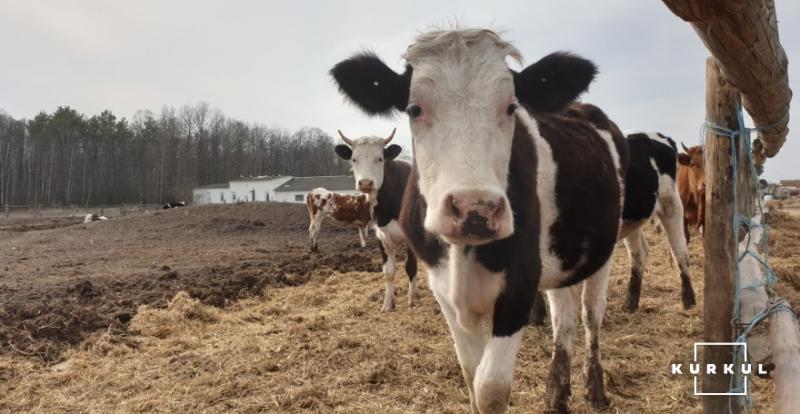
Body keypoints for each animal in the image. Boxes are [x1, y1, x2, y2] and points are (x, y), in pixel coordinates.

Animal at [332, 129, 418, 310]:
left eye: (380, 158)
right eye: (354, 159)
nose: (365, 183)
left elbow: (410, 266)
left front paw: (412, 300)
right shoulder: (381, 236)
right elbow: (388, 272)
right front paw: (388, 304)